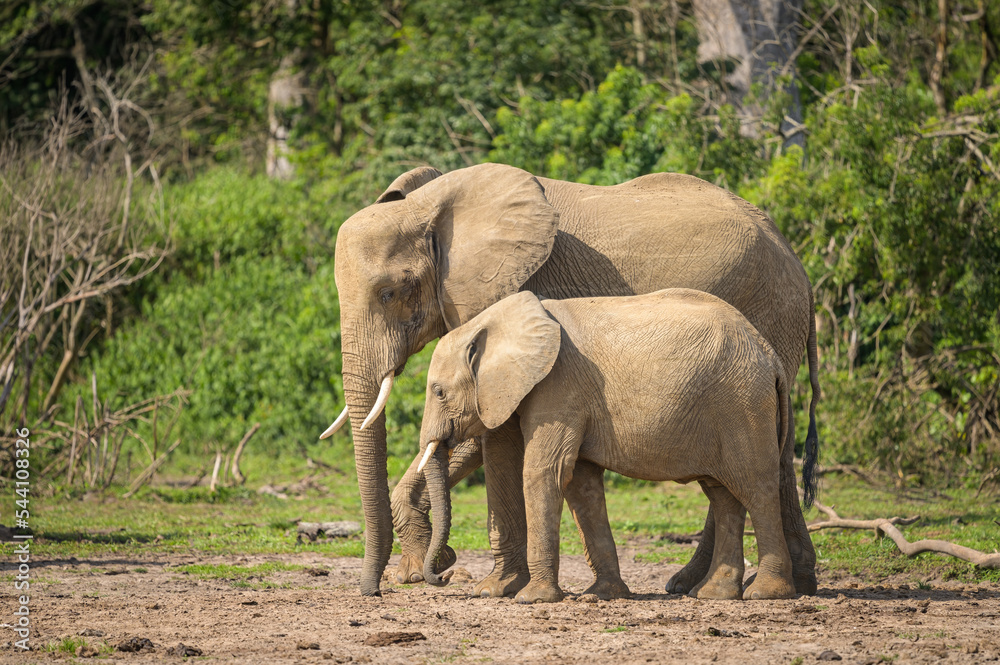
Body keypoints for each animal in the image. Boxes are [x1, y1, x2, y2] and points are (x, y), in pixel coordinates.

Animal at [415, 289, 797, 603]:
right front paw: (603, 594)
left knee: (756, 489)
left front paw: (532, 599)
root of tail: (770, 354)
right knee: (722, 495)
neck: (493, 323)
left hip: (742, 404)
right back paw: (715, 595)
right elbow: (581, 485)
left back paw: (765, 593)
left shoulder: (559, 386)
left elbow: (546, 472)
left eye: (439, 391)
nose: (446, 573)